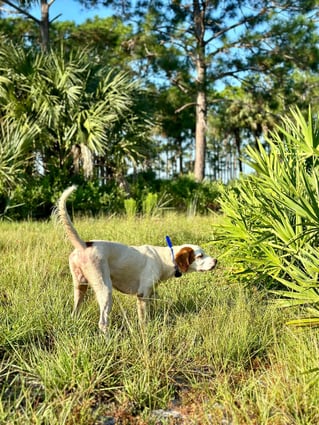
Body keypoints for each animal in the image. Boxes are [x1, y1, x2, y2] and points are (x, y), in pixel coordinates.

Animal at [57, 186, 218, 332]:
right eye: (200, 256)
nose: (216, 261)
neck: (165, 258)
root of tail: (84, 245)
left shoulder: (150, 293)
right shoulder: (142, 294)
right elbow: (143, 320)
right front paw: (145, 332)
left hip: (80, 287)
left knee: (75, 312)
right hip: (105, 289)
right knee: (102, 322)